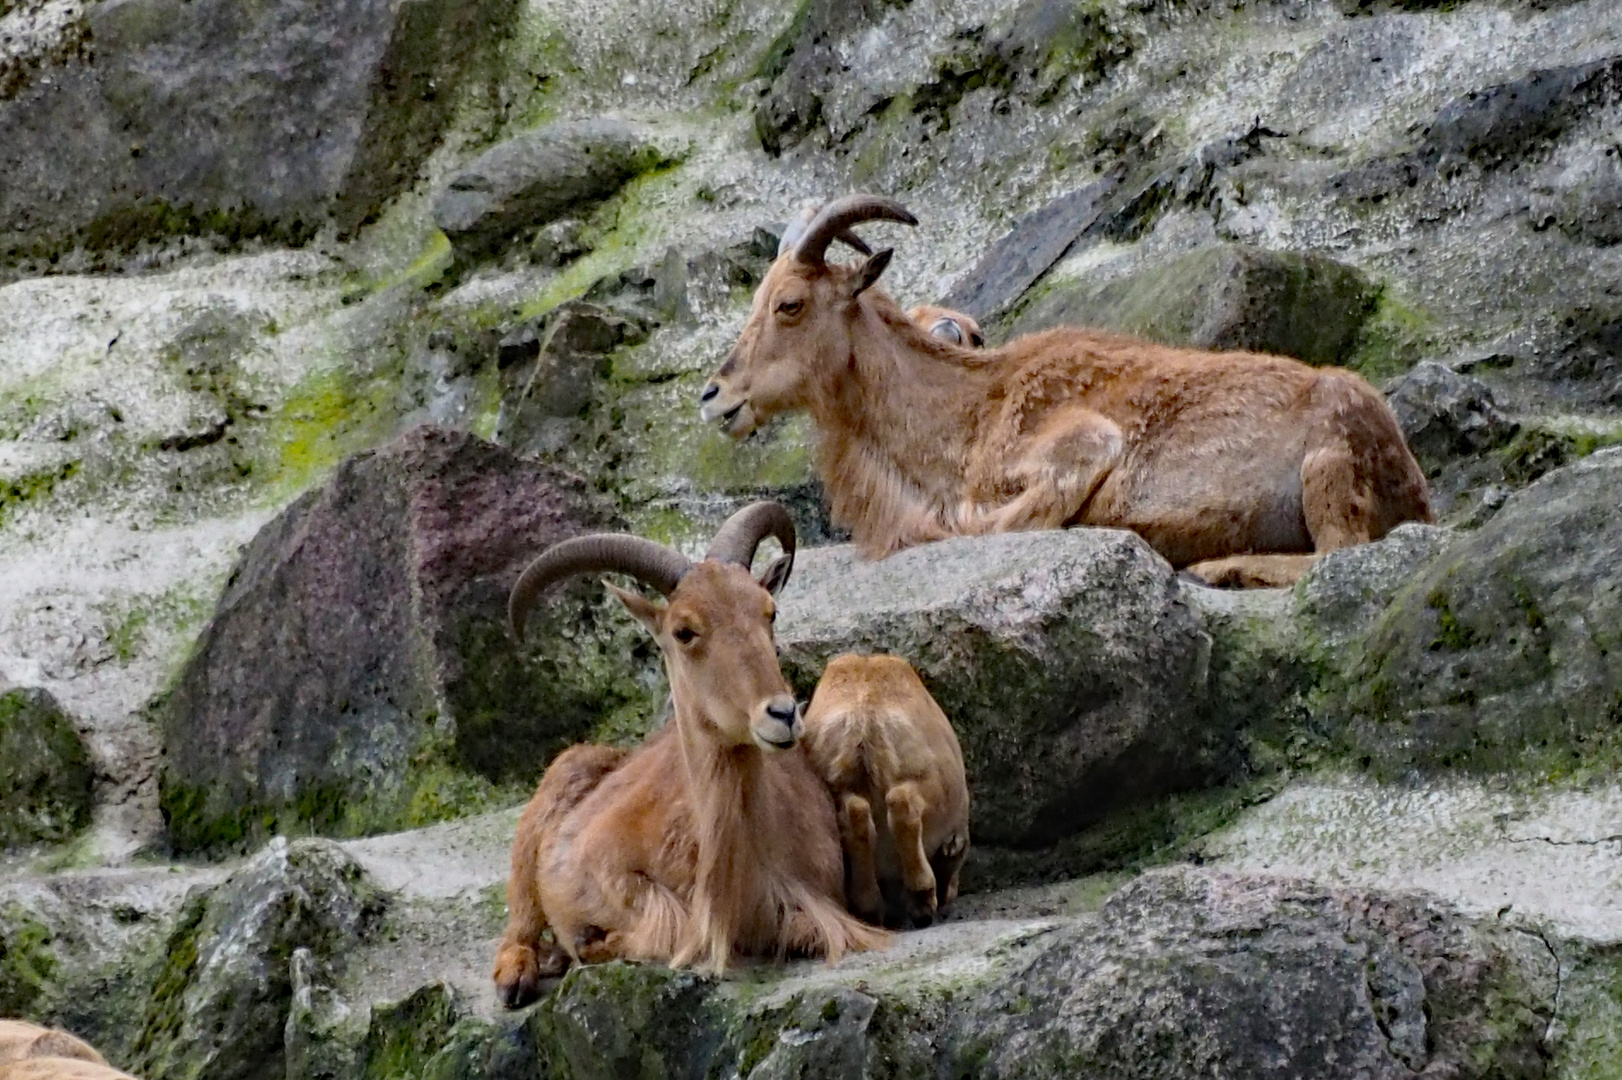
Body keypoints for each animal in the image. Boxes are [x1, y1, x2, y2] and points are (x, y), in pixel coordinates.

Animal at [489, 499, 888, 1005]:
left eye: (770, 611)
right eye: (684, 631)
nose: (781, 713)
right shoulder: (602, 867)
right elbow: (656, 930)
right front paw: (586, 942)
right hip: (553, 794)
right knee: (519, 918)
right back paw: (519, 975)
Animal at [700, 188, 1433, 583]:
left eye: (789, 304)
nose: (715, 396)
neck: (966, 412)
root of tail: (1416, 489)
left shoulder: (1081, 445)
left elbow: (990, 522)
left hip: (1329, 465)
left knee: (1342, 552)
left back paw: (1218, 567)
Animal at [801, 651, 966, 927]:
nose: (950, 892)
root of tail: (864, 714)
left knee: (856, 816)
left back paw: (869, 906)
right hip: (921, 778)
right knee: (903, 804)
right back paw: (921, 899)